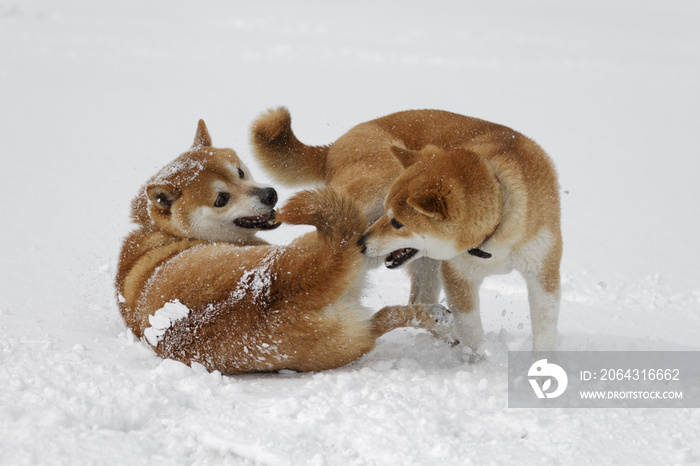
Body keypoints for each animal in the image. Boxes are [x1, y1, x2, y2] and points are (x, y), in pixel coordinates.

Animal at [115, 120, 452, 374]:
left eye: (239, 171)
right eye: (221, 199)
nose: (270, 194)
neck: (159, 230)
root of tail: (291, 282)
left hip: (345, 340)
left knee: (381, 319)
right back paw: (434, 313)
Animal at [249, 107, 560, 352]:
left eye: (398, 222)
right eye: (389, 212)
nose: (361, 243)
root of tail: (334, 146)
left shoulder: (543, 272)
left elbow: (545, 330)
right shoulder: (458, 276)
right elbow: (472, 332)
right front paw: (479, 362)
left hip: (426, 263)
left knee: (419, 300)